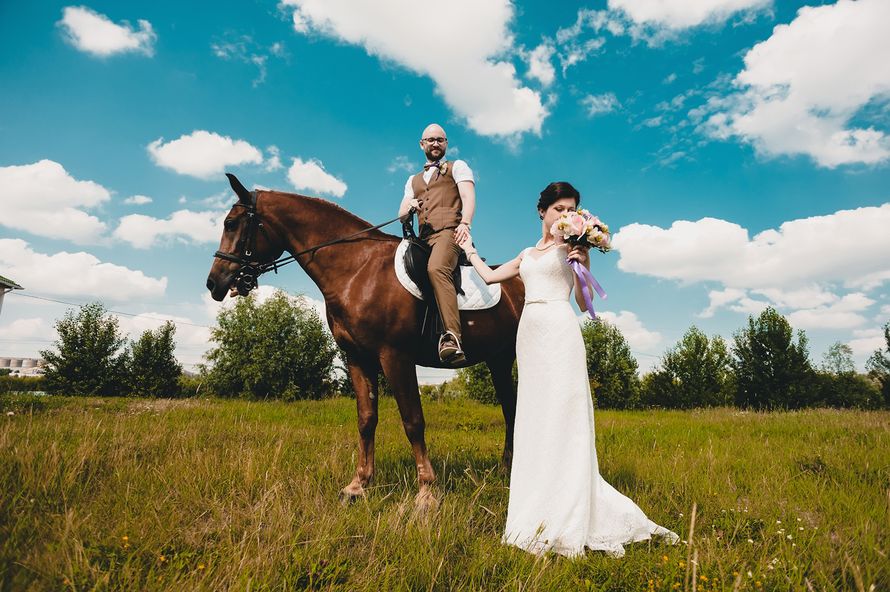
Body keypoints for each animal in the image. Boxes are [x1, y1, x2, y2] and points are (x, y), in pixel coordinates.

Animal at [205, 173, 524, 512]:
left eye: (231, 224)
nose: (214, 283)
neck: (358, 268)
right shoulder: (358, 358)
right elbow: (366, 420)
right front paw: (358, 485)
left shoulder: (395, 357)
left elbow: (413, 420)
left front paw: (426, 493)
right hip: (499, 358)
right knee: (510, 407)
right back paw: (506, 468)